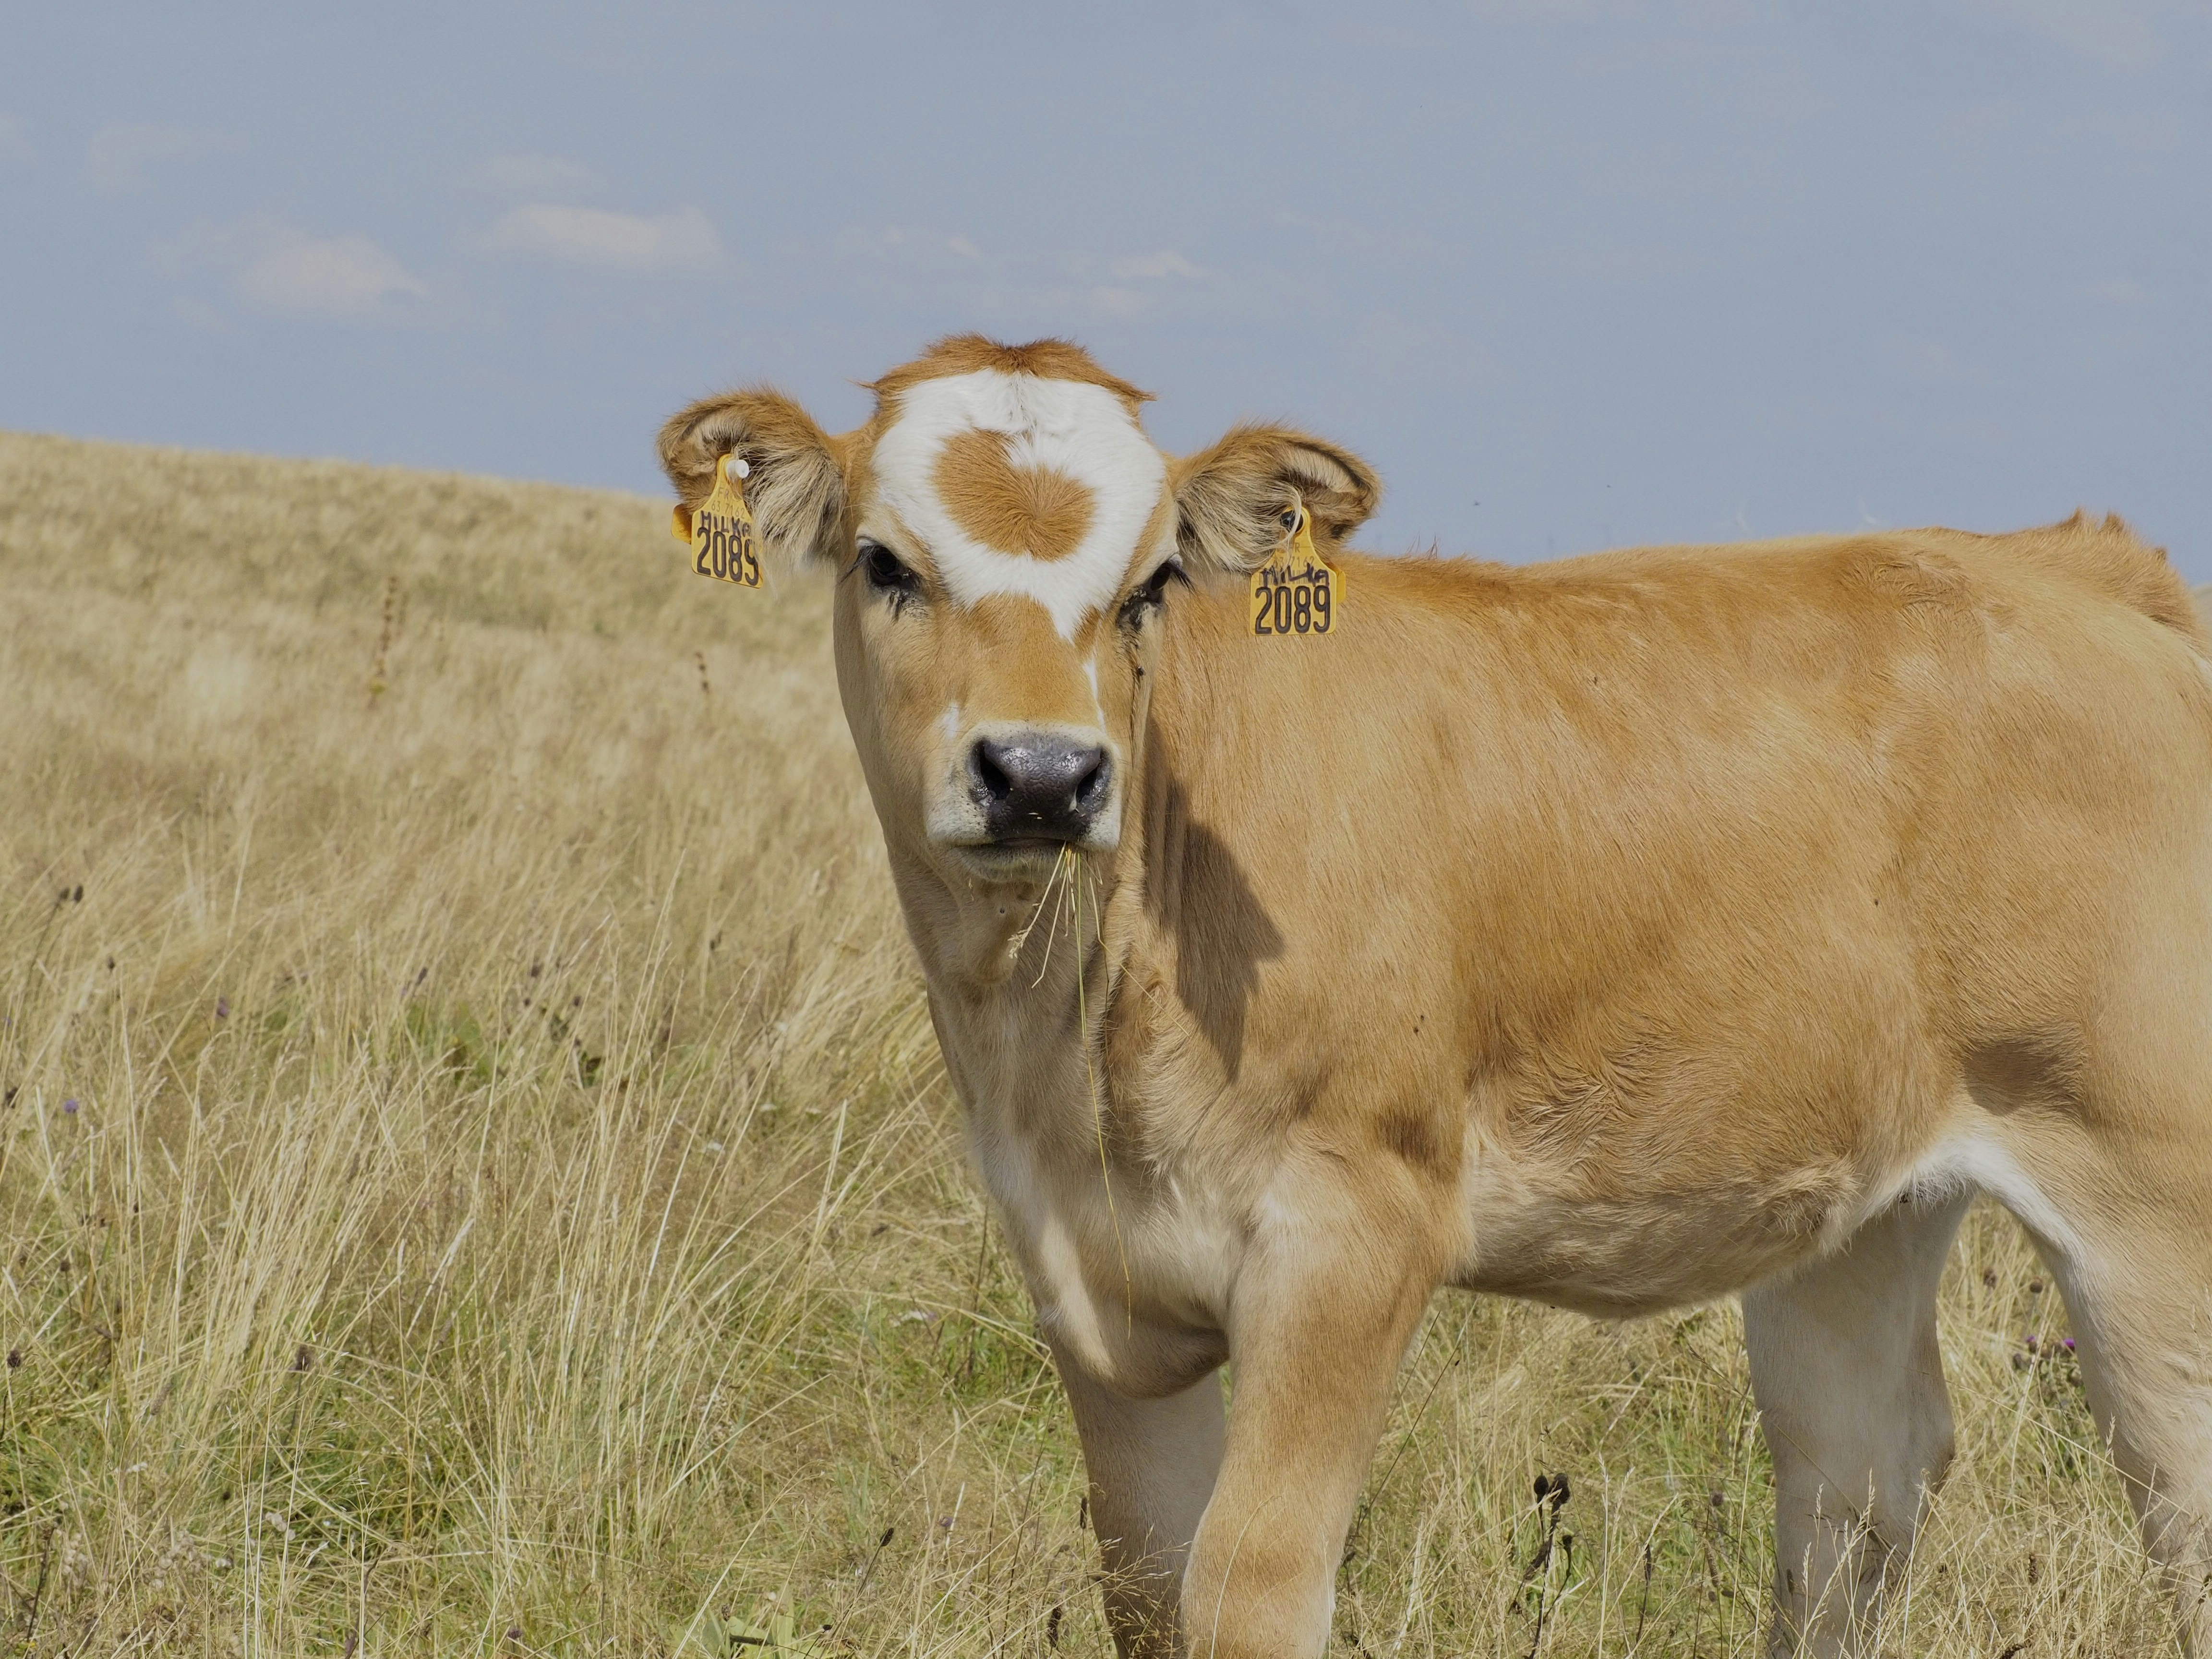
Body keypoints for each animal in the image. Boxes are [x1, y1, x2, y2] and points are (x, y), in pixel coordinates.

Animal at [658, 335, 2212, 1658]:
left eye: (1152, 581)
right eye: (883, 561)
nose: (1043, 773)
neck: (1062, 1040)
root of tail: (2068, 561)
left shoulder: (1353, 1229)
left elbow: (1250, 1585)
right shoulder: (1084, 1276)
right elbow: (1149, 1585)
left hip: (2151, 1196)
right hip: (1859, 1196)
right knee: (1857, 1486)